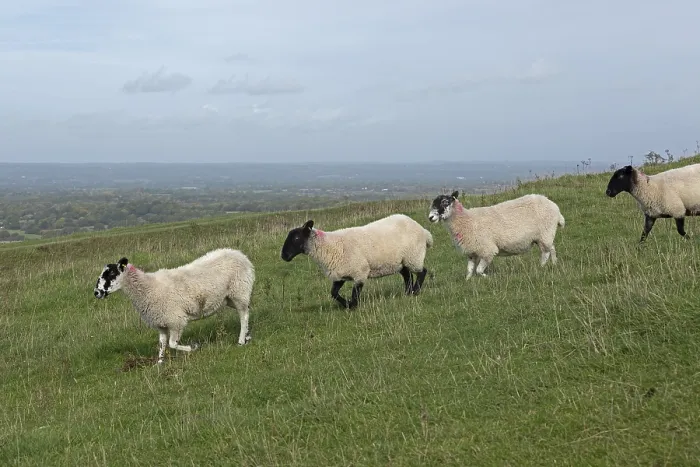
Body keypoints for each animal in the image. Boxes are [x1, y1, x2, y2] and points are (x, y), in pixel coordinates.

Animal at [93, 248, 255, 364]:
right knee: (246, 311)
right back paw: (247, 336)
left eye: (111, 274)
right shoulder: (161, 323)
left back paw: (241, 341)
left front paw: (193, 347)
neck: (147, 288)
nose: (96, 292)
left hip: (239, 291)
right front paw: (159, 363)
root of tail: (241, 255)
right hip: (230, 298)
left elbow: (172, 344)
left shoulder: (176, 320)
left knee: (244, 315)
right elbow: (162, 344)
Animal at [280, 214, 434, 309]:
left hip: (413, 256)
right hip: (400, 261)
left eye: (296, 238)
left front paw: (353, 305)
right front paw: (346, 305)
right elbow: (333, 293)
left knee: (422, 272)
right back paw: (407, 292)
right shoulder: (340, 274)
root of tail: (424, 231)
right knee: (407, 275)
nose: (284, 256)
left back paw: (415, 291)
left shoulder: (360, 271)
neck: (329, 246)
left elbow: (356, 291)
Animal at [428, 191, 565, 278]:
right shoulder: (472, 252)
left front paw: (485, 276)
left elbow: (478, 270)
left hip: (545, 233)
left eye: (445, 202)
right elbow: (469, 270)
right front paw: (468, 281)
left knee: (545, 253)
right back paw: (554, 264)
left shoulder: (487, 250)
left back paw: (541, 266)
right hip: (545, 235)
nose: (430, 217)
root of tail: (554, 206)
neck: (466, 221)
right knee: (552, 248)